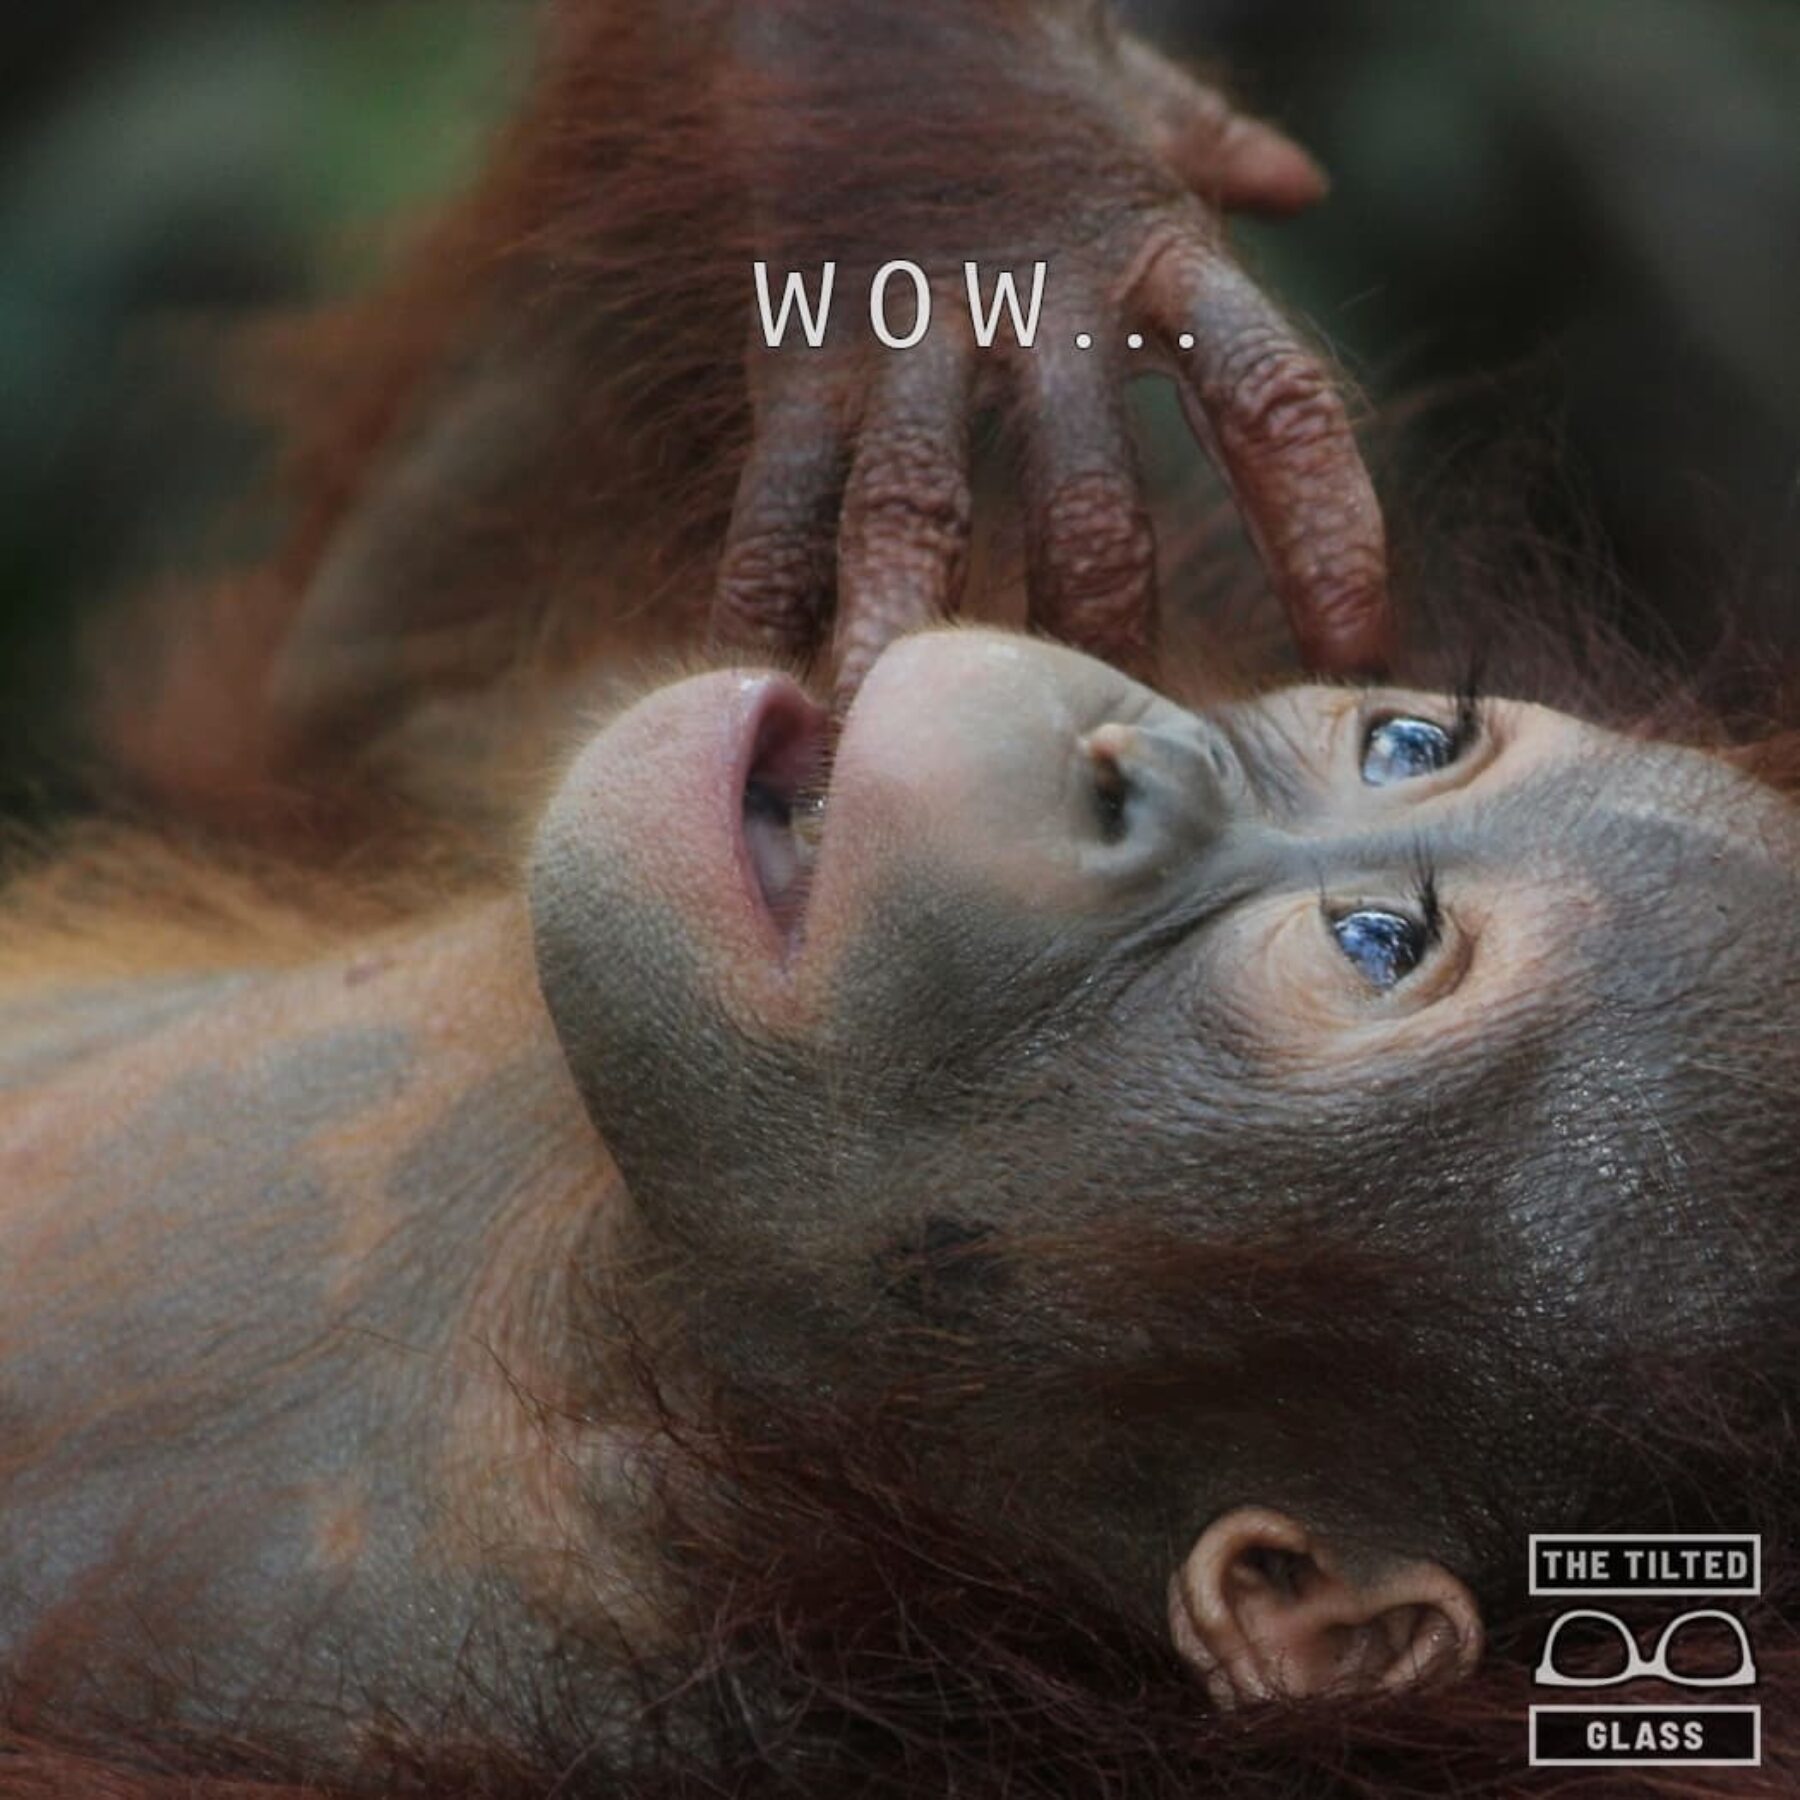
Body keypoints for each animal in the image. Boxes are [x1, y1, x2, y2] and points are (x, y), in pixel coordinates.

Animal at [5, 3, 1800, 1798]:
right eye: (1410, 740)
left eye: (1378, 944)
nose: (1134, 751)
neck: (588, 1284)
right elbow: (358, 668)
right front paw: (951, 178)